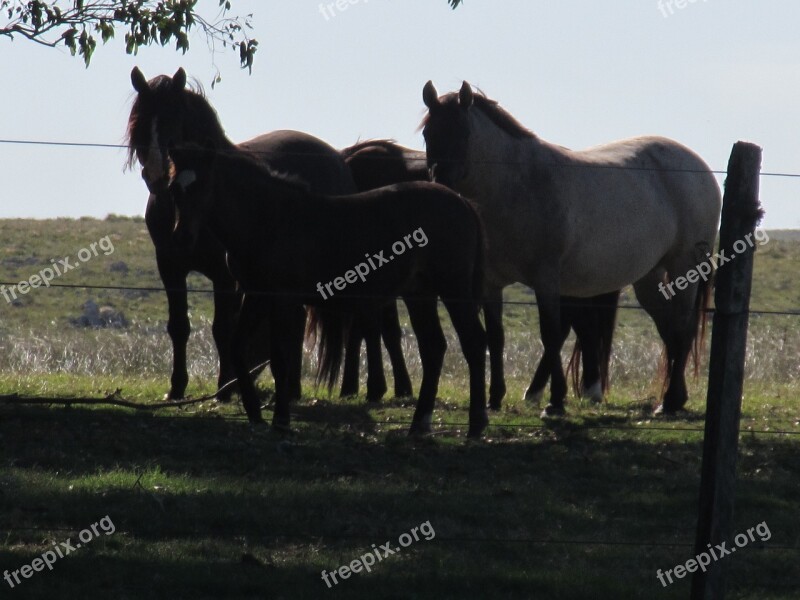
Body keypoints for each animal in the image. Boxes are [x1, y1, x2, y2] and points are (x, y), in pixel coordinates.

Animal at [168, 143, 488, 438]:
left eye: (204, 184)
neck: (270, 218)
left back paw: (475, 425)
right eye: (173, 188)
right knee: (433, 347)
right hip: (419, 294)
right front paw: (256, 415)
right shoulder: (256, 294)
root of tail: (463, 203)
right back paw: (419, 425)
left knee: (473, 342)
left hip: (452, 288)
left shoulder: (283, 299)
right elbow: (238, 347)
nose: (182, 237)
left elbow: (281, 358)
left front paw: (280, 420)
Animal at [422, 81, 720, 418]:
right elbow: (496, 337)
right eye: (428, 133)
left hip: (684, 266)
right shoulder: (491, 283)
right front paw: (495, 397)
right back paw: (675, 399)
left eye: (464, 132)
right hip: (649, 277)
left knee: (682, 328)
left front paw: (555, 401)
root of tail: (699, 167)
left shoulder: (546, 279)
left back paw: (669, 402)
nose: (440, 182)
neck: (517, 186)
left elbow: (550, 334)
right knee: (669, 328)